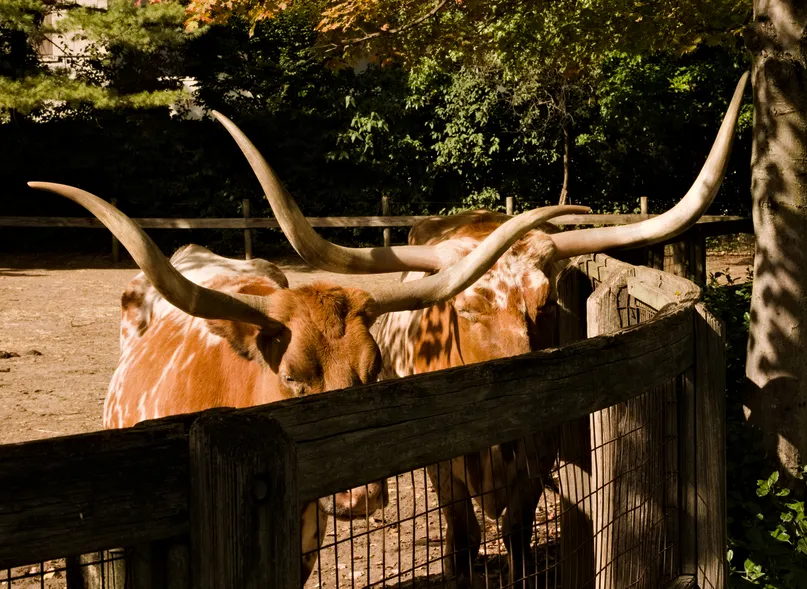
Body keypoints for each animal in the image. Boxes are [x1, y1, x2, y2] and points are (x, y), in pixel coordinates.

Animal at [215, 71, 748, 588]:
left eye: (545, 303)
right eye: (466, 307)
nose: (525, 391)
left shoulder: (540, 448)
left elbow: (516, 527)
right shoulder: (440, 461)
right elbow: (464, 529)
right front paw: (459, 569)